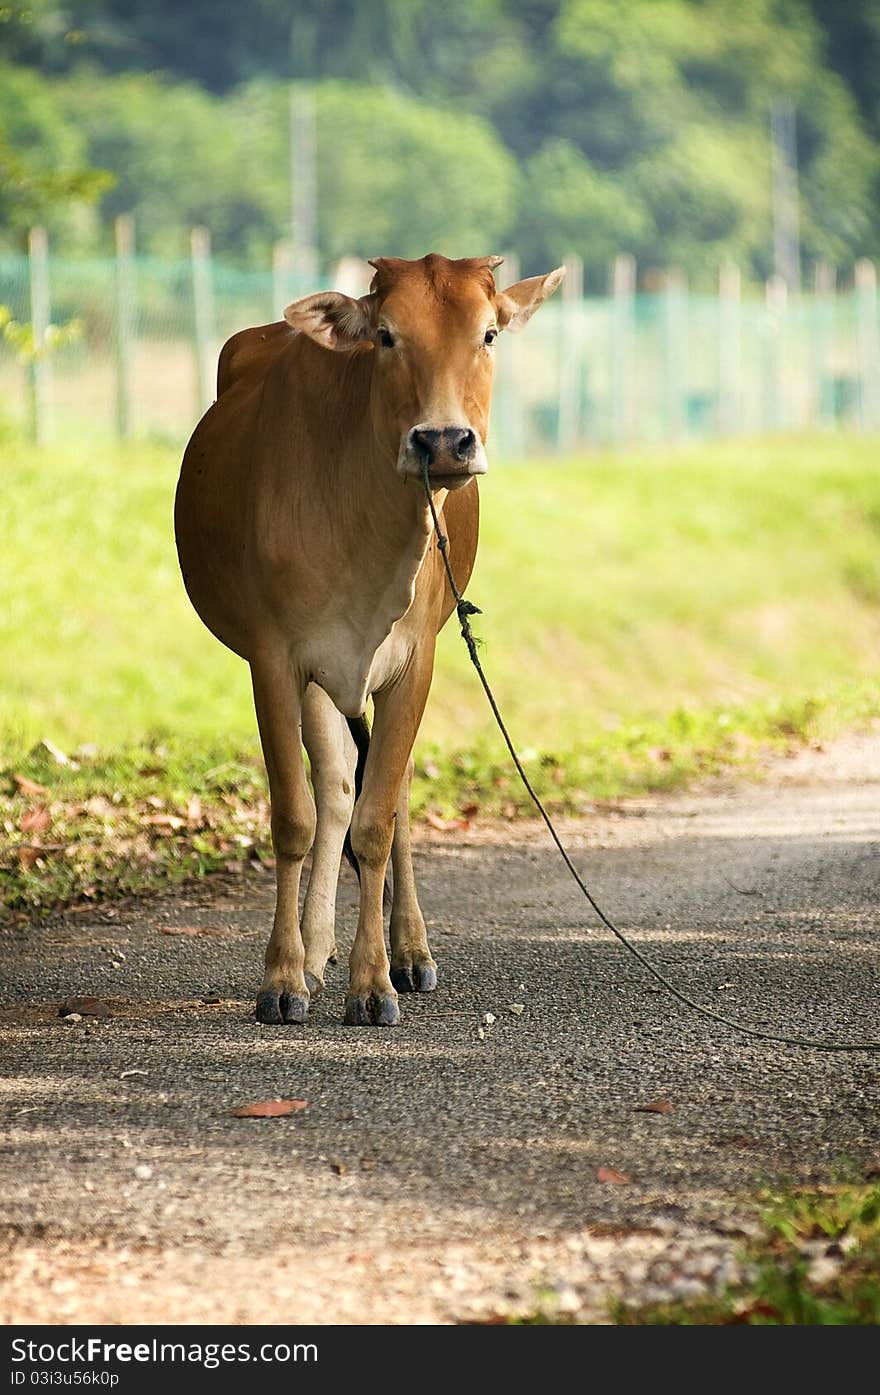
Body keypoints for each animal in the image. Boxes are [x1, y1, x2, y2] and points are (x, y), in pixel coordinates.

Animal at [175, 253, 563, 1026]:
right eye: (385, 335)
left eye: (489, 333)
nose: (442, 441)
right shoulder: (276, 659)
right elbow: (294, 815)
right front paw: (284, 977)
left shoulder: (414, 662)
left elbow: (379, 818)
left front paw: (375, 981)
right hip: (323, 679)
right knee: (330, 788)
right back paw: (315, 949)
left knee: (390, 790)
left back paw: (409, 951)